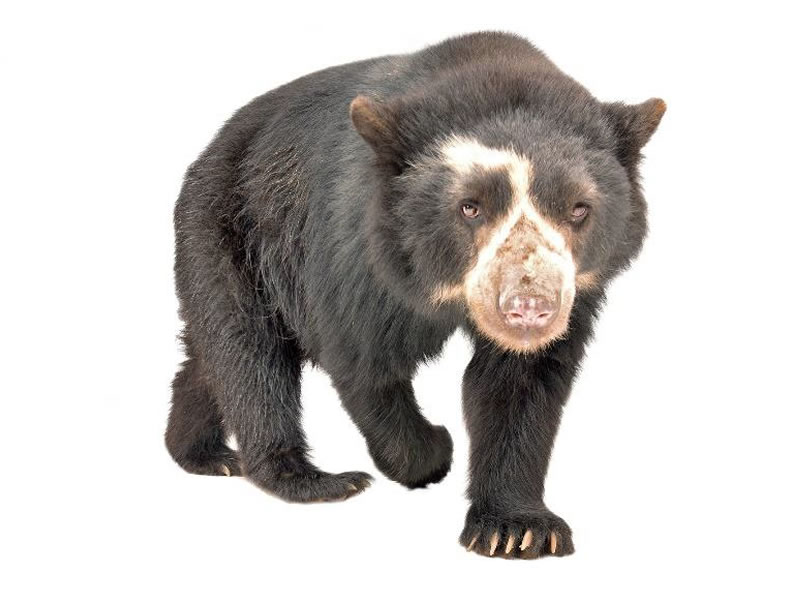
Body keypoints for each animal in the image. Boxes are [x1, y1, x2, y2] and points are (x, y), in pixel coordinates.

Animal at [166, 31, 664, 559]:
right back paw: (311, 478)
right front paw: (432, 451)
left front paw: (518, 528)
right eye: (469, 207)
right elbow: (363, 357)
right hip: (232, 231)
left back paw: (204, 454)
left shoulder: (577, 293)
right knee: (250, 354)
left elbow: (520, 384)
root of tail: (211, 149)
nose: (529, 308)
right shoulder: (358, 245)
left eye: (578, 209)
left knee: (211, 358)